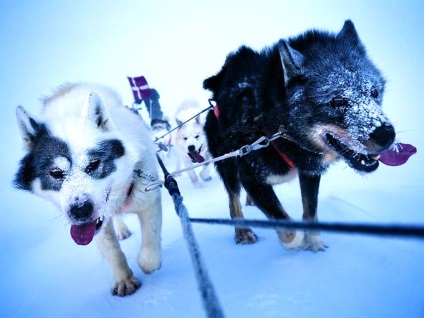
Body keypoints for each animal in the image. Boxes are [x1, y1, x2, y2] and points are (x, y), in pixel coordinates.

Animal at [13, 82, 162, 296]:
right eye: (56, 173)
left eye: (93, 164)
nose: (80, 210)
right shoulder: (95, 228)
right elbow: (112, 250)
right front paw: (124, 279)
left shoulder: (148, 198)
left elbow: (151, 238)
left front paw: (147, 263)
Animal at [204, 21, 396, 252]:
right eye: (337, 100)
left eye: (374, 92)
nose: (387, 135)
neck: (272, 130)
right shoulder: (250, 178)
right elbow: (285, 224)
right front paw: (296, 244)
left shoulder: (310, 172)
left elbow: (310, 211)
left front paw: (313, 242)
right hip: (228, 165)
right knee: (234, 201)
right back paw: (242, 231)